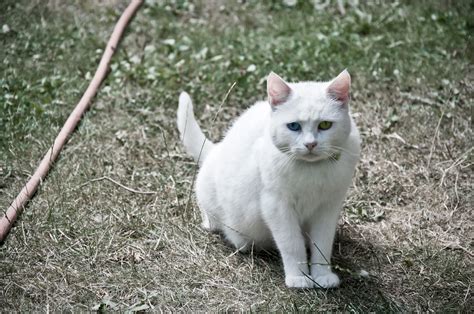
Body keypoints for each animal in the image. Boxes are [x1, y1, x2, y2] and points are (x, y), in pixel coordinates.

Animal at [177, 70, 360, 288]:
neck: (310, 170)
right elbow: (291, 244)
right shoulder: (277, 207)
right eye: (293, 126)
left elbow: (322, 244)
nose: (310, 144)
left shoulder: (328, 208)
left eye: (325, 125)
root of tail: (216, 149)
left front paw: (322, 275)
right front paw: (299, 277)